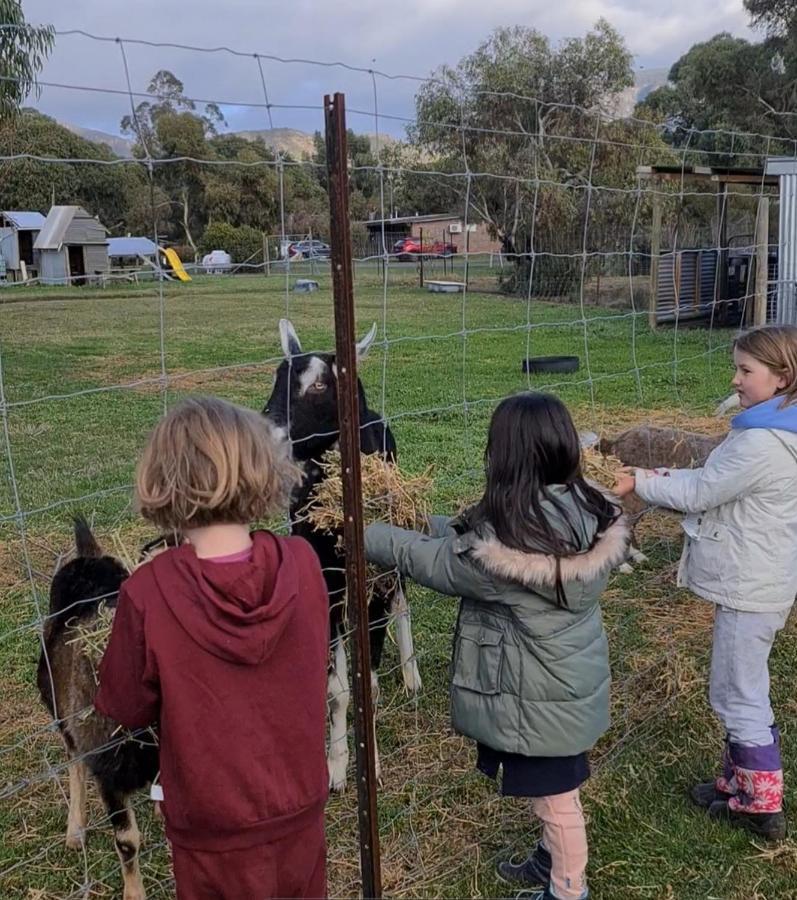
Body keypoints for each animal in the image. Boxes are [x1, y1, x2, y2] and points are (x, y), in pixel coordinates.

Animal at [37, 520, 160, 900]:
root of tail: (87, 555)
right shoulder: (109, 774)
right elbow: (127, 842)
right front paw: (134, 894)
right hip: (59, 704)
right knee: (73, 757)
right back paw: (75, 830)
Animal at [262, 320, 422, 792]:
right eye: (278, 378)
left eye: (319, 385)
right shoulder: (328, 585)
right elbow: (337, 688)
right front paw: (336, 767)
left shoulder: (372, 580)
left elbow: (368, 674)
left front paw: (373, 765)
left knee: (401, 599)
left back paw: (411, 676)